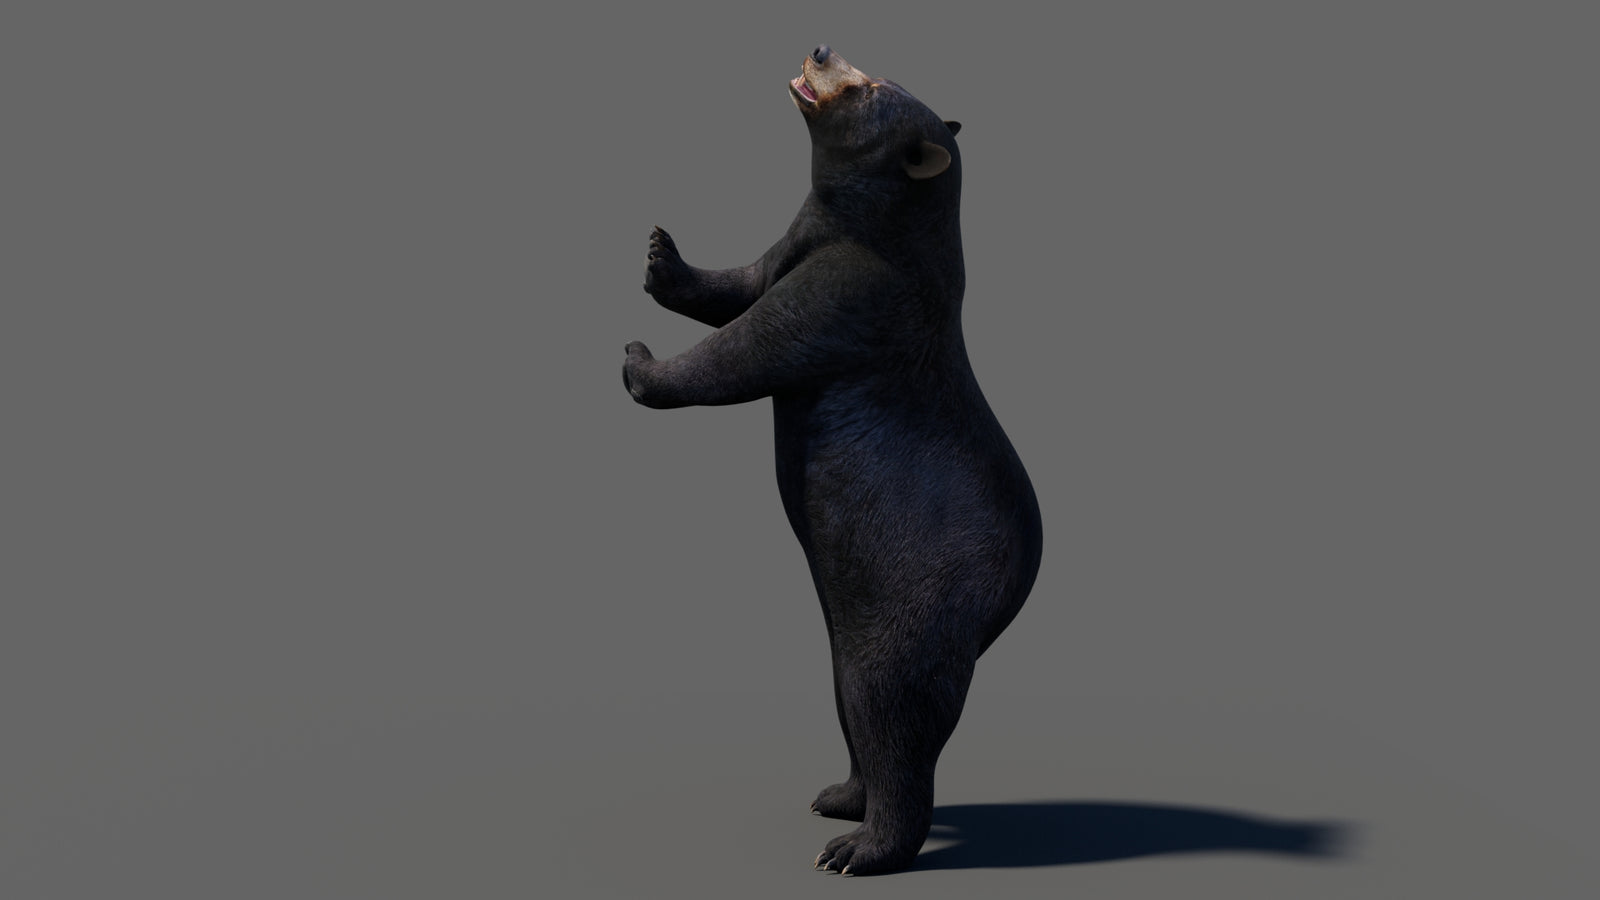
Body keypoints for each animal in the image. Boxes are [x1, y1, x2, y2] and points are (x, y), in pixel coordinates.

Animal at [622, 45, 1042, 876]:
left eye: (865, 86)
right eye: (868, 65)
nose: (820, 49)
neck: (883, 225)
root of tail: (1009, 599)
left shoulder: (857, 288)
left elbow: (751, 346)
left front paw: (640, 362)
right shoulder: (802, 242)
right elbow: (745, 282)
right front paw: (661, 256)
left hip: (918, 599)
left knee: (891, 705)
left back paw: (860, 848)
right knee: (854, 700)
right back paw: (840, 796)